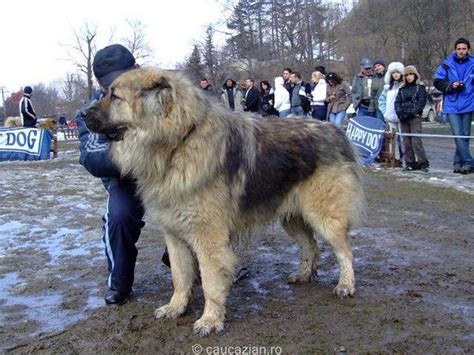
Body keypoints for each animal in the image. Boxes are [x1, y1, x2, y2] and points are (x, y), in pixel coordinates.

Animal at [85, 69, 366, 336]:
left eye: (114, 96)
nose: (83, 114)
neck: (179, 144)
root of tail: (335, 130)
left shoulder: (208, 240)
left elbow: (210, 283)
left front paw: (210, 320)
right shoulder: (174, 235)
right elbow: (180, 276)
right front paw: (176, 307)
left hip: (324, 215)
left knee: (345, 251)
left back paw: (345, 285)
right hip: (293, 218)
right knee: (311, 246)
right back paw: (304, 274)